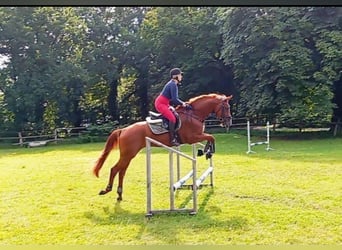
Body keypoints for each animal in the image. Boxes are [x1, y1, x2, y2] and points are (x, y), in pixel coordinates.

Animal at [93, 93, 232, 201]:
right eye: (226, 107)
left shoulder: (196, 137)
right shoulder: (192, 137)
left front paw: (205, 151)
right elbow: (211, 137)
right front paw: (207, 152)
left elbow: (210, 137)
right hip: (128, 154)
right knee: (115, 169)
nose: (229, 121)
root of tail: (123, 130)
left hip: (129, 155)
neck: (194, 115)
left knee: (121, 171)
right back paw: (107, 190)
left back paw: (119, 194)